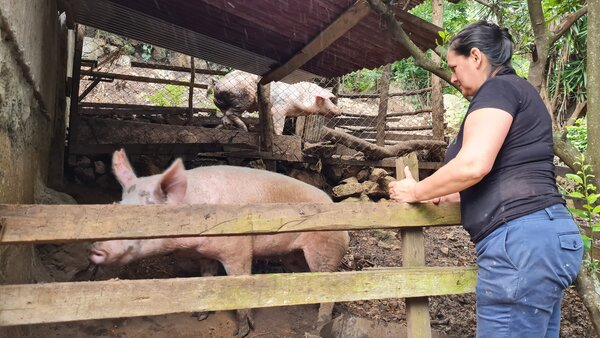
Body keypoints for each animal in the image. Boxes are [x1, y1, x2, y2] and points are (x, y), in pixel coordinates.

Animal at [89, 150, 352, 336]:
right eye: (117, 205)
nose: (95, 249)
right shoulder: (205, 254)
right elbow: (207, 280)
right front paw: (200, 316)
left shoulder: (239, 250)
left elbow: (240, 286)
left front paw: (243, 331)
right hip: (294, 255)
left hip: (325, 249)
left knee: (330, 286)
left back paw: (317, 327)